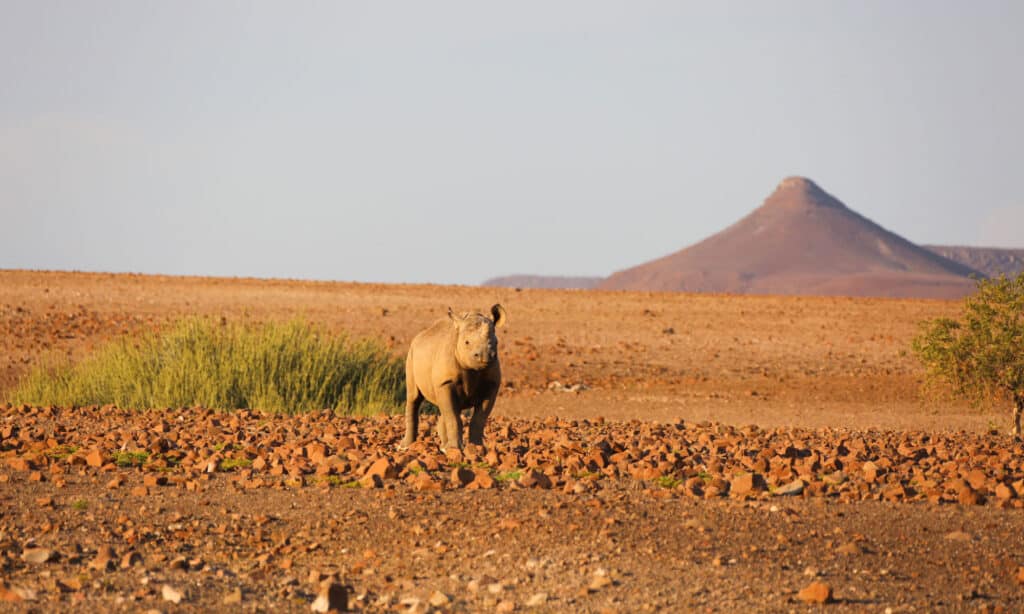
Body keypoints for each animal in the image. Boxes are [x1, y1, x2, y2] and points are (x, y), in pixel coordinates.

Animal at [403, 302, 507, 450]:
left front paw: (477, 447)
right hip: (411, 355)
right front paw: (455, 448)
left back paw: (443, 446)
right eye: (467, 342)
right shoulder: (445, 382)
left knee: (444, 409)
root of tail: (419, 336)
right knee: (414, 397)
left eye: (496, 343)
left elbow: (479, 419)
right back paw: (406, 446)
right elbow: (453, 417)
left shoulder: (491, 385)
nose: (484, 356)